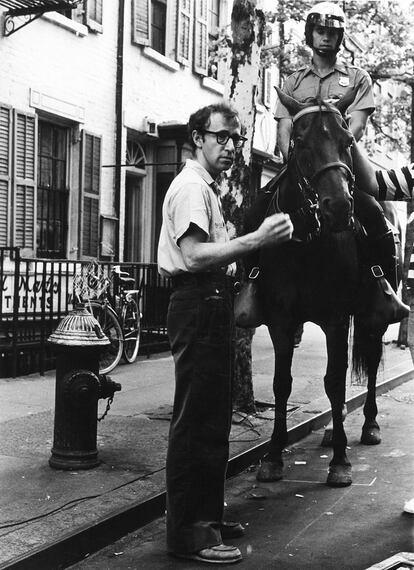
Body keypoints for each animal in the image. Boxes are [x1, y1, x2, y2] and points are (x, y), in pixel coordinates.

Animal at [243, 91, 402, 486]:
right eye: (300, 142)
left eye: (348, 142)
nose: (339, 207)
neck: (306, 242)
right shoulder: (281, 321)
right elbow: (282, 384)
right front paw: (273, 456)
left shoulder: (335, 318)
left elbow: (333, 382)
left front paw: (341, 462)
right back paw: (335, 426)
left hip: (373, 316)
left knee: (370, 362)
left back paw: (368, 425)